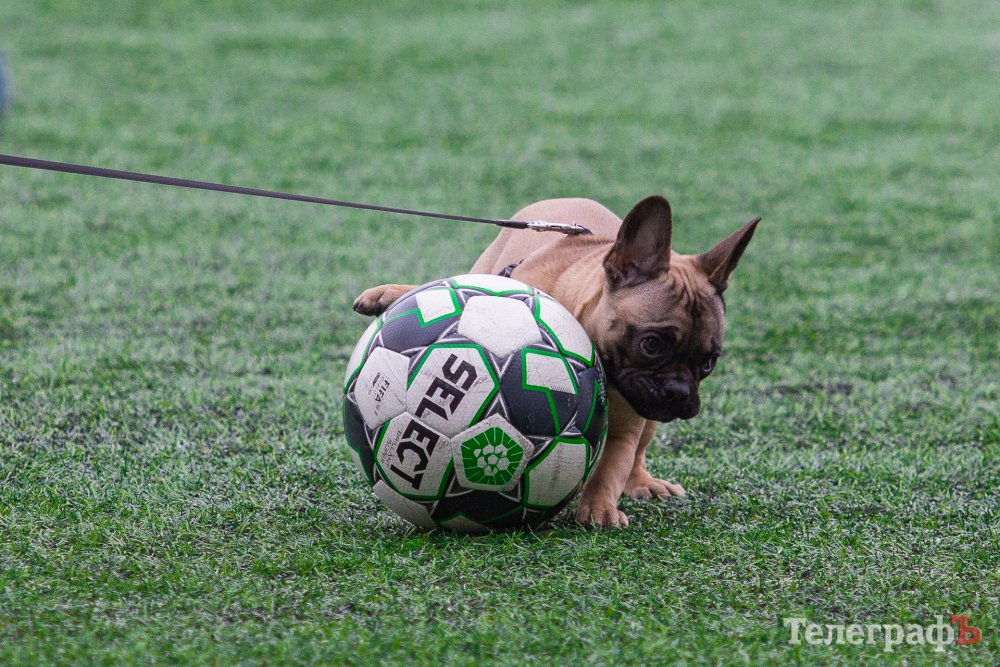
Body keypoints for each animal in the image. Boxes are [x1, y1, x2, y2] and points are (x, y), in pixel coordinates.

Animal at [354, 196, 759, 527]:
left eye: (709, 363)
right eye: (651, 344)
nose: (679, 391)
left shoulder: (627, 427)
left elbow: (612, 466)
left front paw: (599, 508)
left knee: (640, 451)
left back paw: (643, 482)